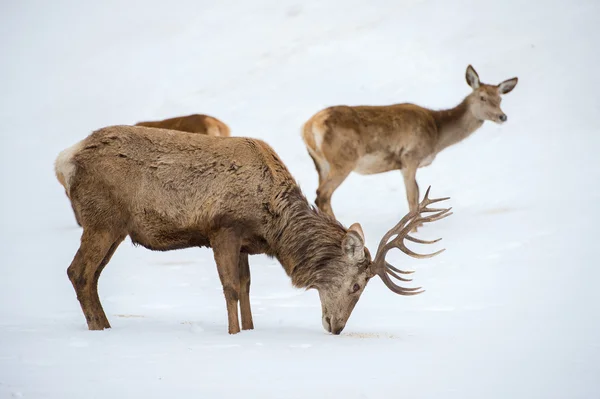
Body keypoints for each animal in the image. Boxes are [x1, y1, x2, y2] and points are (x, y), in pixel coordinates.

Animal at [55, 126, 450, 336]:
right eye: (357, 285)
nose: (336, 327)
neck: (273, 225)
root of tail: (64, 161)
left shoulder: (245, 242)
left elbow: (246, 287)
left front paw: (249, 332)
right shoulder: (223, 229)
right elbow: (230, 288)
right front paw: (233, 335)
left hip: (115, 228)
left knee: (91, 276)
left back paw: (105, 327)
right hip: (103, 219)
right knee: (78, 272)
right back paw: (99, 330)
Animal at [302, 65, 516, 219]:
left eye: (500, 99)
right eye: (482, 97)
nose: (502, 116)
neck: (437, 134)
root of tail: (308, 128)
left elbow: (418, 196)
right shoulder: (410, 158)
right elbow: (412, 199)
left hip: (321, 163)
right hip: (344, 159)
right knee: (323, 194)